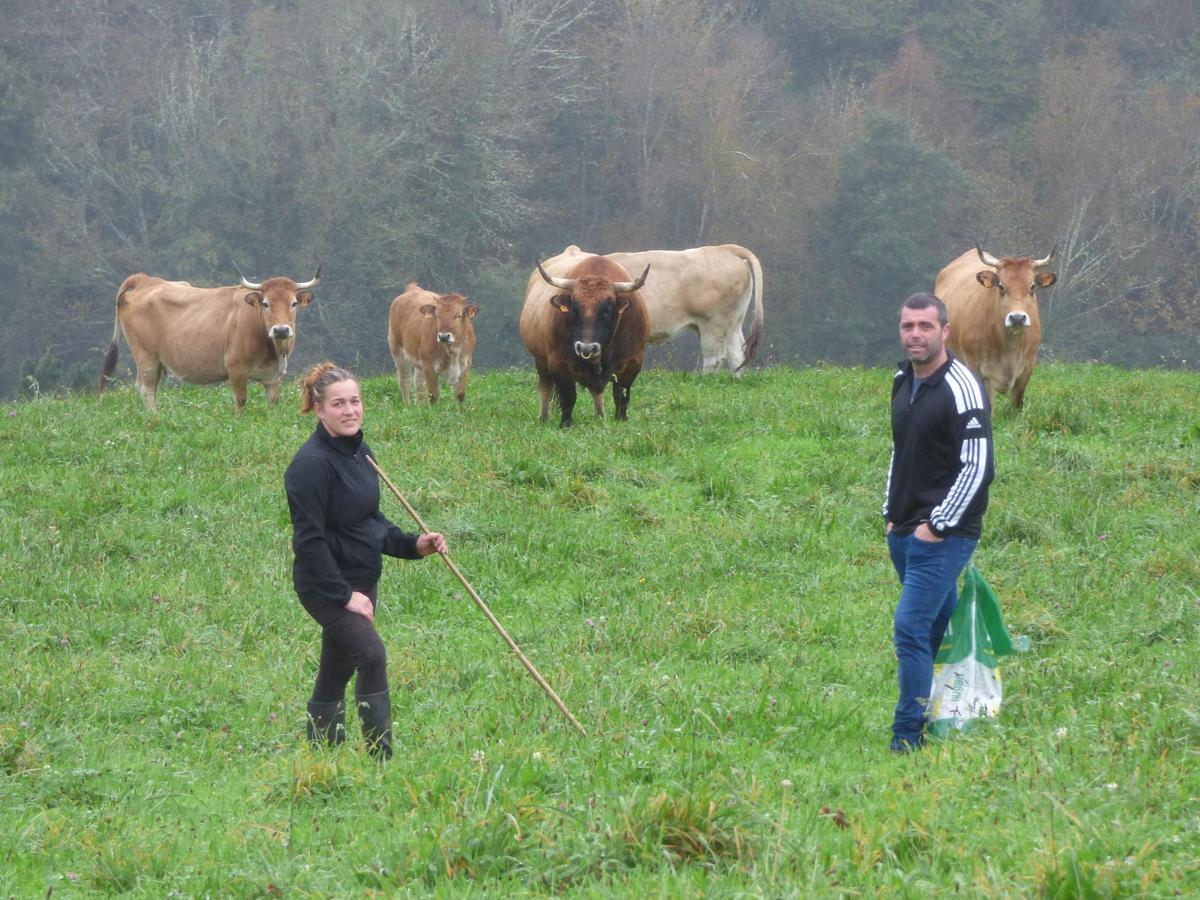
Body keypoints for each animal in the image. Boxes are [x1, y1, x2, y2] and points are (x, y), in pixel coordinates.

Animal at [100, 266, 319, 410]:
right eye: (266, 303)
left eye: (293, 303)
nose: (281, 330)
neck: (273, 350)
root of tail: (145, 280)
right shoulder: (236, 368)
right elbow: (240, 402)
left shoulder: (273, 377)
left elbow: (273, 404)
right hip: (146, 356)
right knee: (147, 389)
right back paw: (154, 418)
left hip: (157, 361)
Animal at [520, 250, 652, 427]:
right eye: (574, 309)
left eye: (607, 309)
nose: (586, 348)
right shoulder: (559, 364)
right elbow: (568, 398)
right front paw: (566, 424)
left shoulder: (633, 362)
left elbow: (621, 395)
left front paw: (621, 419)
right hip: (540, 361)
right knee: (545, 387)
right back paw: (543, 418)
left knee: (597, 392)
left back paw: (600, 416)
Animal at [931, 244, 1056, 410]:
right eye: (1001, 286)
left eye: (1032, 287)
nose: (1017, 318)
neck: (1010, 348)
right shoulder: (976, 368)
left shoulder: (1028, 367)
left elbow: (1016, 403)